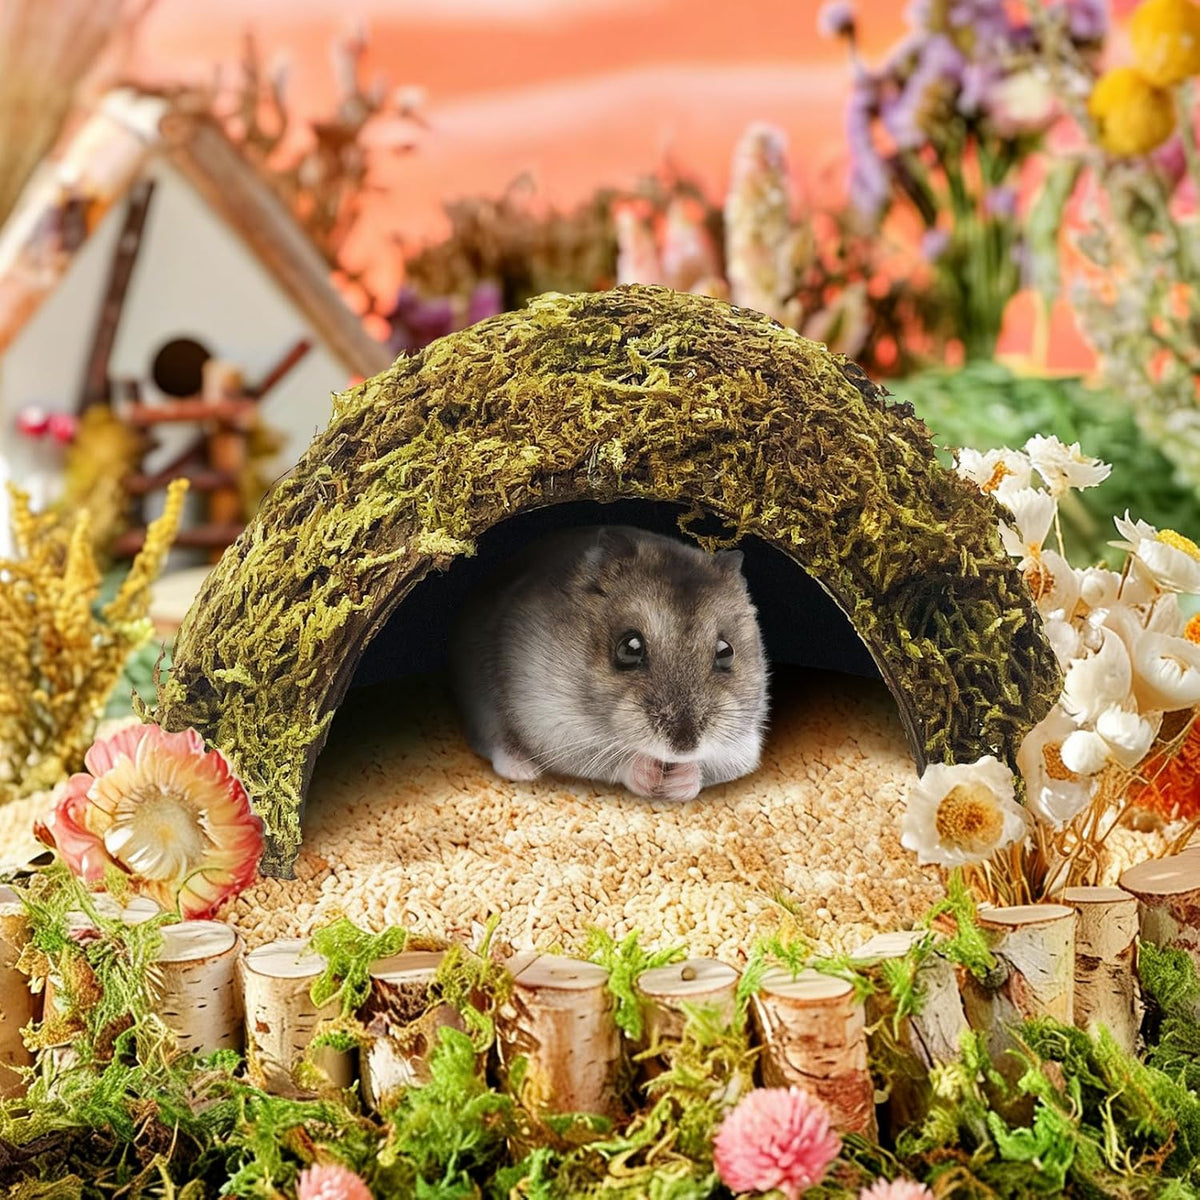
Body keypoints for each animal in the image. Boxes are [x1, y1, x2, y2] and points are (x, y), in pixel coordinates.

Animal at [449, 525, 769, 801]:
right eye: (629, 648)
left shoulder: (745, 746)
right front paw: (648, 774)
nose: (683, 748)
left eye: (726, 652)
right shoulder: (549, 723)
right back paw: (524, 771)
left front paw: (678, 782)